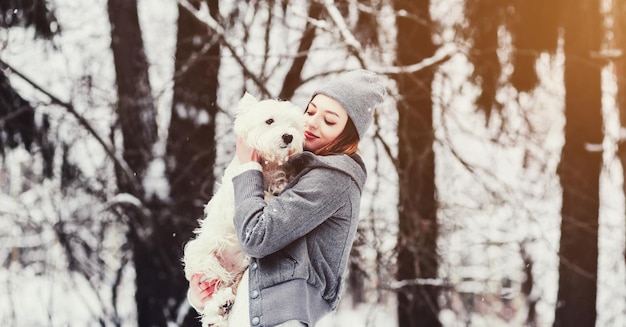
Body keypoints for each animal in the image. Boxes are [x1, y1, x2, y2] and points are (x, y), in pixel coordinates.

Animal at [182, 92, 306, 327]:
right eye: (269, 121)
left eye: (293, 124)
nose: (288, 136)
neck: (268, 165)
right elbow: (261, 197)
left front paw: (283, 182)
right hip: (206, 260)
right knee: (213, 292)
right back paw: (220, 304)